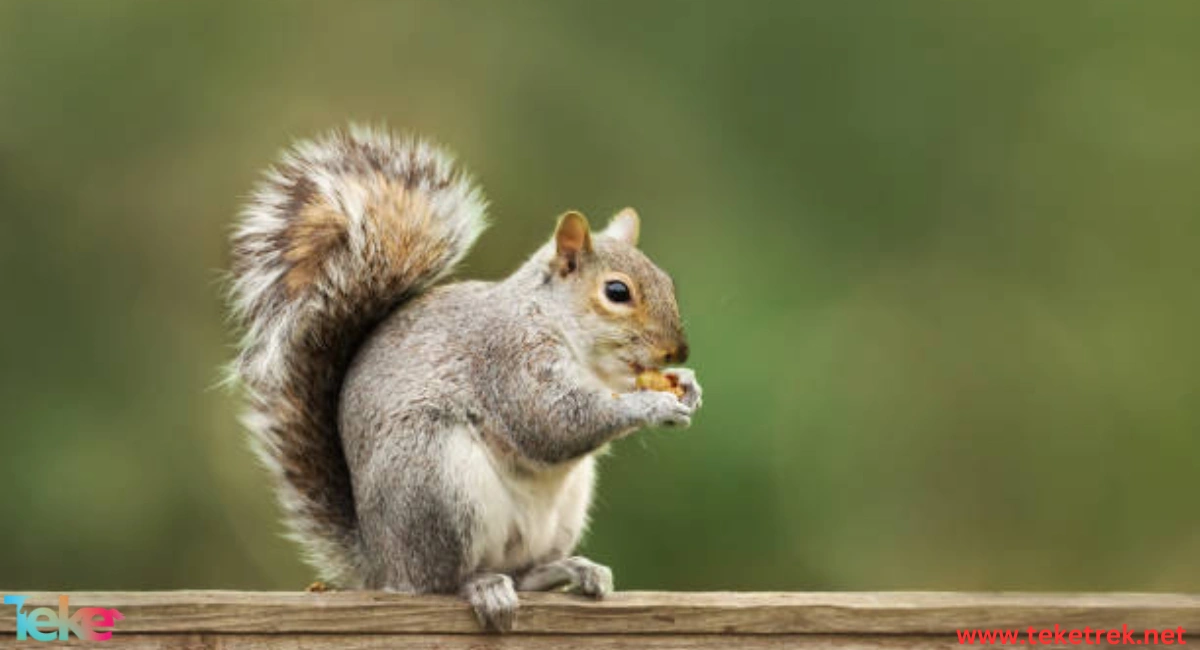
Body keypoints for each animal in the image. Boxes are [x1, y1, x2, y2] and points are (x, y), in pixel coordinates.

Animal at [225, 124, 700, 633]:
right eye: (616, 292)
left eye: (667, 282)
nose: (678, 351)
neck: (569, 336)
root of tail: (381, 563)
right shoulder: (508, 359)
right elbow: (552, 423)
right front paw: (652, 405)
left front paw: (685, 384)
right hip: (435, 481)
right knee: (441, 580)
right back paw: (482, 587)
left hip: (561, 509)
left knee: (524, 573)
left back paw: (568, 570)